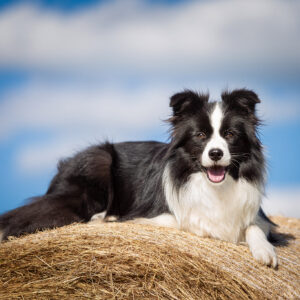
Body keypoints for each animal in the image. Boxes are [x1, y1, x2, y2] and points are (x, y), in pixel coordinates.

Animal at [0, 88, 276, 268]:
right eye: (200, 135)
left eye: (230, 134)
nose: (216, 153)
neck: (213, 186)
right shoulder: (158, 215)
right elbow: (197, 224)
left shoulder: (259, 217)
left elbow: (254, 227)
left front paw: (265, 251)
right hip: (100, 160)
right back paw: (104, 218)